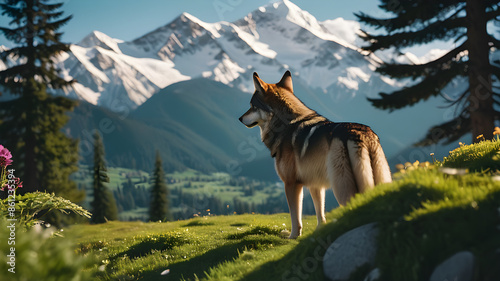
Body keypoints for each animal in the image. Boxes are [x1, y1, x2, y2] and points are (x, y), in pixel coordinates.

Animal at [237, 70, 390, 236]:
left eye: (252, 106)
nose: (239, 118)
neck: (285, 125)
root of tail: (360, 133)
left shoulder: (291, 183)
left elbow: (295, 217)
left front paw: (293, 237)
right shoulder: (315, 184)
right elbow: (320, 214)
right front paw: (318, 232)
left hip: (341, 188)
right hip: (379, 179)